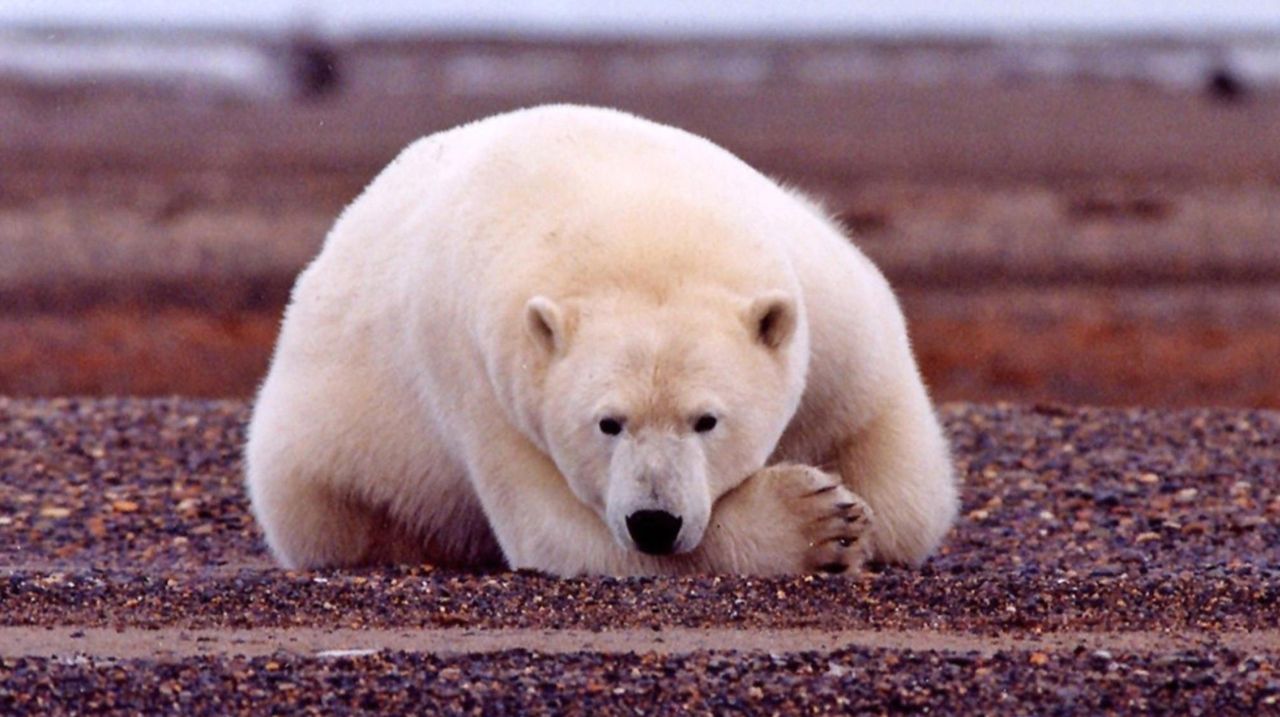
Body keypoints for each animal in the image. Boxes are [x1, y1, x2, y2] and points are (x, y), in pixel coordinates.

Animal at [244, 104, 957, 577]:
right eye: (608, 422)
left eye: (707, 419)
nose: (655, 521)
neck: (636, 219)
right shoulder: (485, 378)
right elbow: (561, 534)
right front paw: (818, 521)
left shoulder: (828, 305)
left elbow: (902, 481)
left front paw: (857, 514)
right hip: (323, 461)